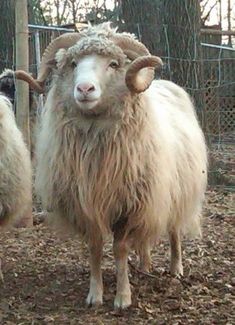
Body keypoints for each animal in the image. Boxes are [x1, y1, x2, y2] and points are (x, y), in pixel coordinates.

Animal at [20, 23, 207, 308]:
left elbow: (120, 249)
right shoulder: (86, 205)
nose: (84, 89)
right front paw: (95, 295)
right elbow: (95, 248)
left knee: (174, 232)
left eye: (114, 64)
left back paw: (176, 268)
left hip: (174, 193)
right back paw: (144, 264)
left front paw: (123, 297)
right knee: (144, 239)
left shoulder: (129, 205)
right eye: (73, 63)